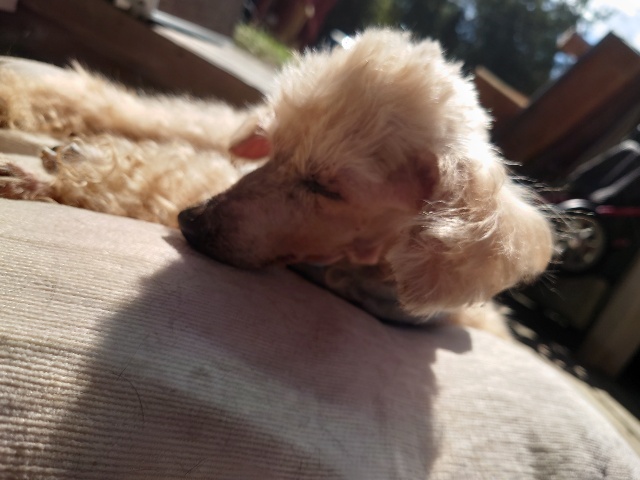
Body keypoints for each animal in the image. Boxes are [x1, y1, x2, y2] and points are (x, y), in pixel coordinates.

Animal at [0, 29, 554, 335]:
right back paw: (18, 96)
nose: (192, 222)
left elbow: (169, 174)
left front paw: (62, 169)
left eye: (326, 188)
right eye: (276, 150)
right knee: (143, 110)